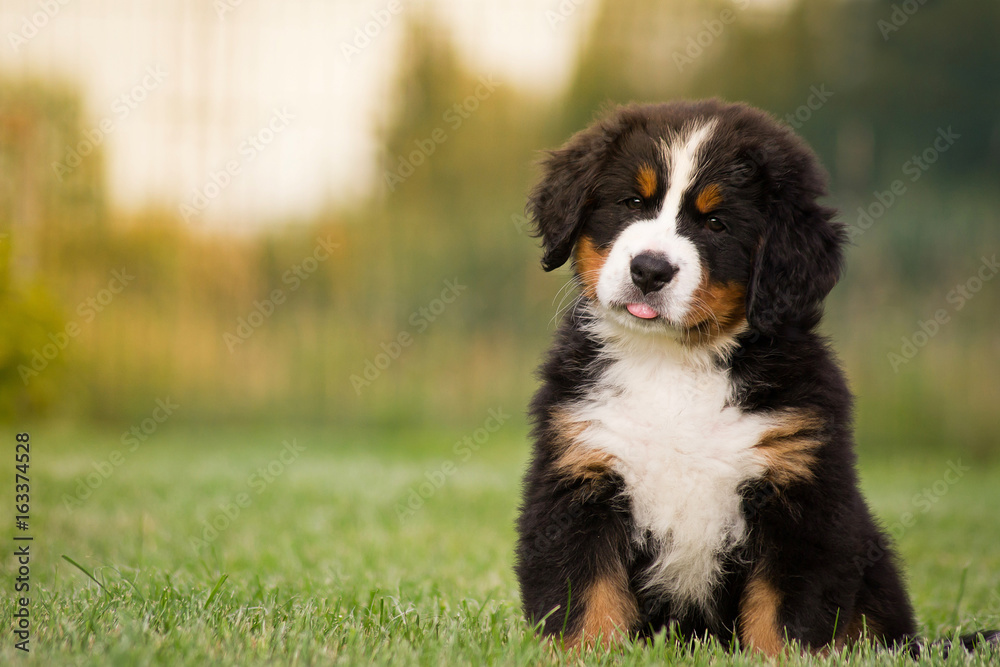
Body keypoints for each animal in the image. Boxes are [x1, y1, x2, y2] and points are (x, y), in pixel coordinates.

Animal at [520, 100, 996, 656]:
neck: (674, 363)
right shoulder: (581, 477)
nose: (650, 270)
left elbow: (781, 615)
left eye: (717, 224)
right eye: (632, 201)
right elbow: (586, 599)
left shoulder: (799, 496)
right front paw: (585, 654)